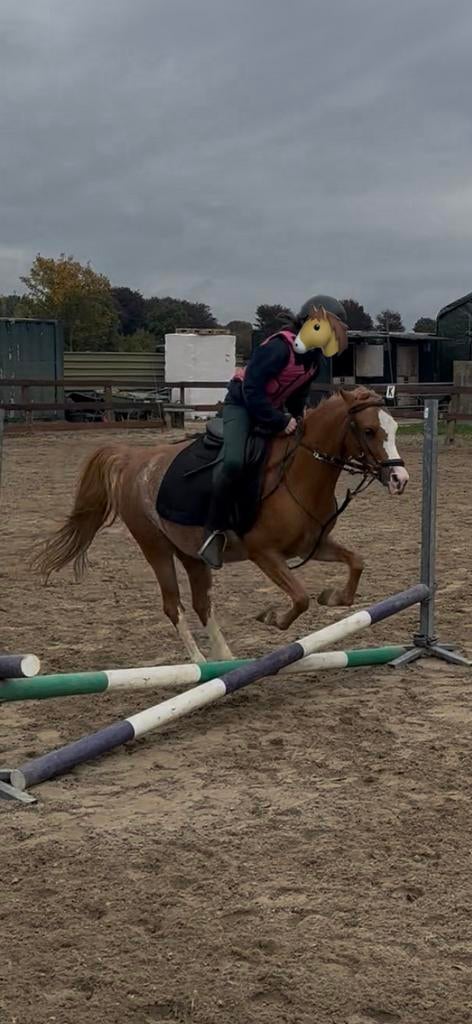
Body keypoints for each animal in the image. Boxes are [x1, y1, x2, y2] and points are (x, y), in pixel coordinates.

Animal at [34, 387, 409, 662]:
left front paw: (333, 597)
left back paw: (225, 660)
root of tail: (133, 459)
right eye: (369, 430)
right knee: (174, 606)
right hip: (155, 548)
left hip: (191, 554)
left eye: (394, 429)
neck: (298, 473)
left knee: (202, 604)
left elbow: (356, 562)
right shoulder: (264, 554)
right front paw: (272, 618)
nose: (400, 479)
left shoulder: (311, 546)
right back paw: (198, 664)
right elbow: (301, 598)